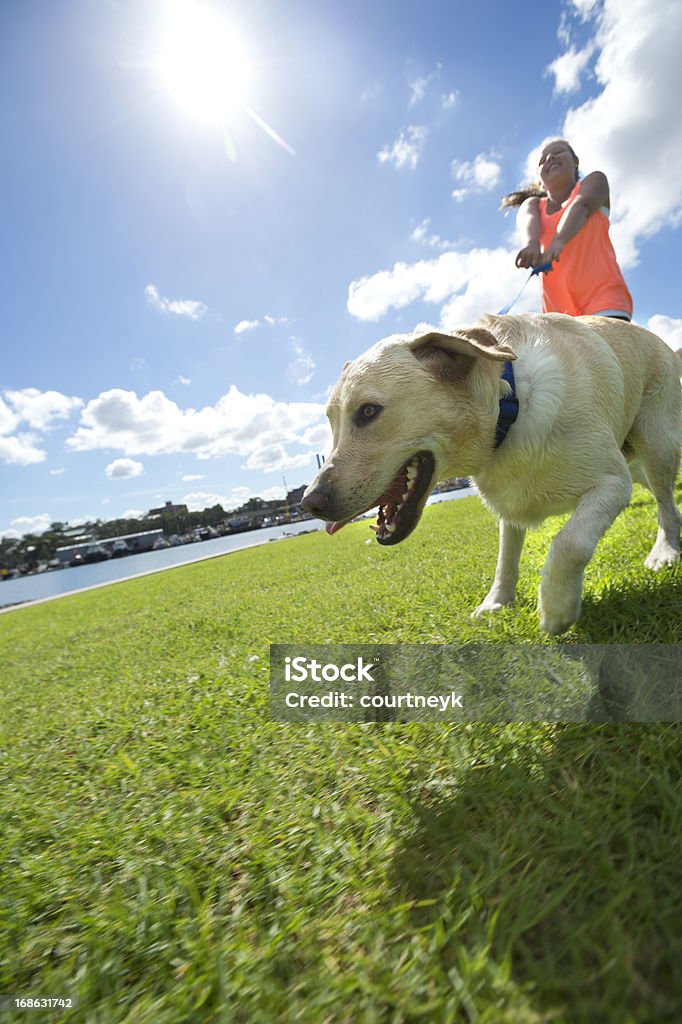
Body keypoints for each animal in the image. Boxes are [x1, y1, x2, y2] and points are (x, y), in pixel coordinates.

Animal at [303, 311, 679, 630]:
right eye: (331, 422)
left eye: (368, 411)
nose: (310, 502)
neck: (508, 408)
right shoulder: (510, 504)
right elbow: (506, 556)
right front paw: (497, 601)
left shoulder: (612, 483)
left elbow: (569, 543)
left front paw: (556, 607)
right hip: (638, 462)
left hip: (656, 447)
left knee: (665, 503)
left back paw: (664, 551)